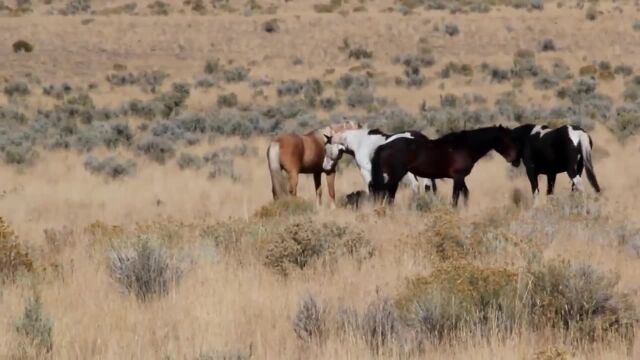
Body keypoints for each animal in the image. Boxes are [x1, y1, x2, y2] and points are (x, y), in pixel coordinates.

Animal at [370, 125, 516, 207]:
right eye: (505, 140)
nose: (514, 159)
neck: (464, 147)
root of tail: (384, 146)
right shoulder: (458, 177)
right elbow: (455, 198)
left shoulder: (461, 178)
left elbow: (466, 194)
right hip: (395, 176)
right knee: (388, 196)